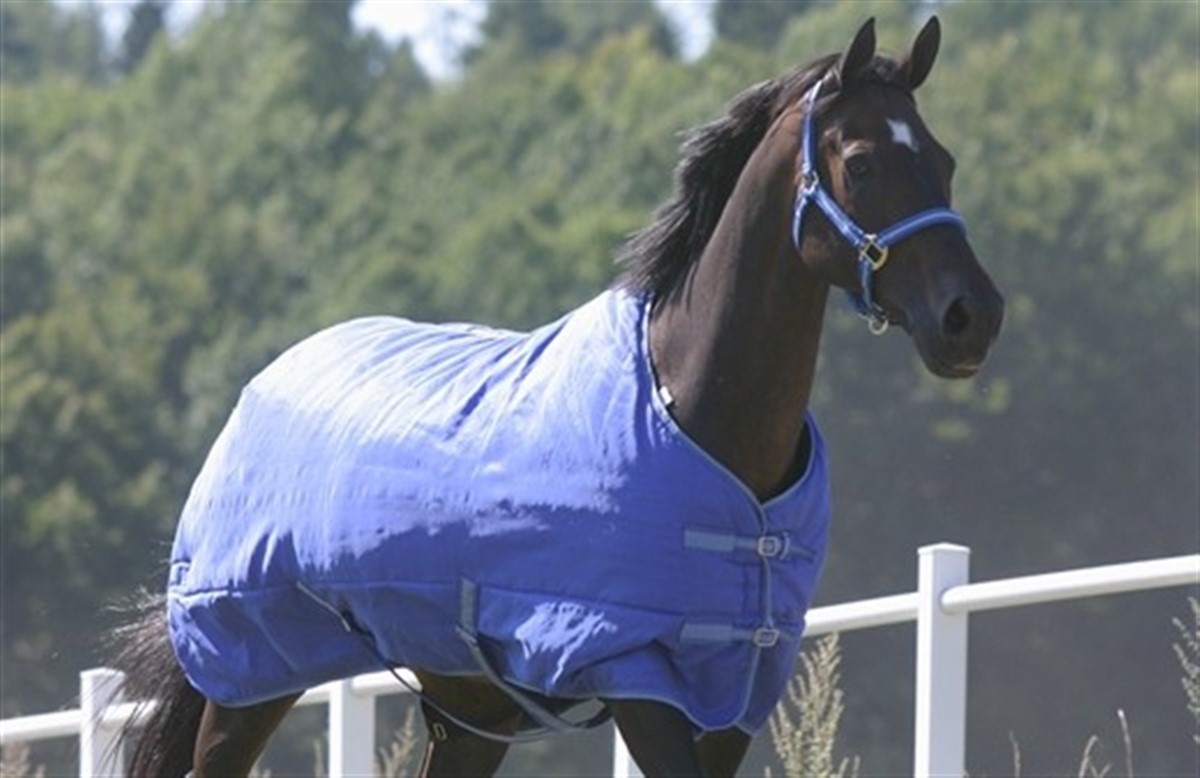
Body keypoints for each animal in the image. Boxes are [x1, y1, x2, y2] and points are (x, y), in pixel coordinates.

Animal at [113, 16, 1003, 777]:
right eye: (862, 161)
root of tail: (264, 383)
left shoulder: (735, 688)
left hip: (470, 710)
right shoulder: (633, 671)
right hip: (249, 669)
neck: (691, 413)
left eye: (945, 159)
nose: (972, 316)